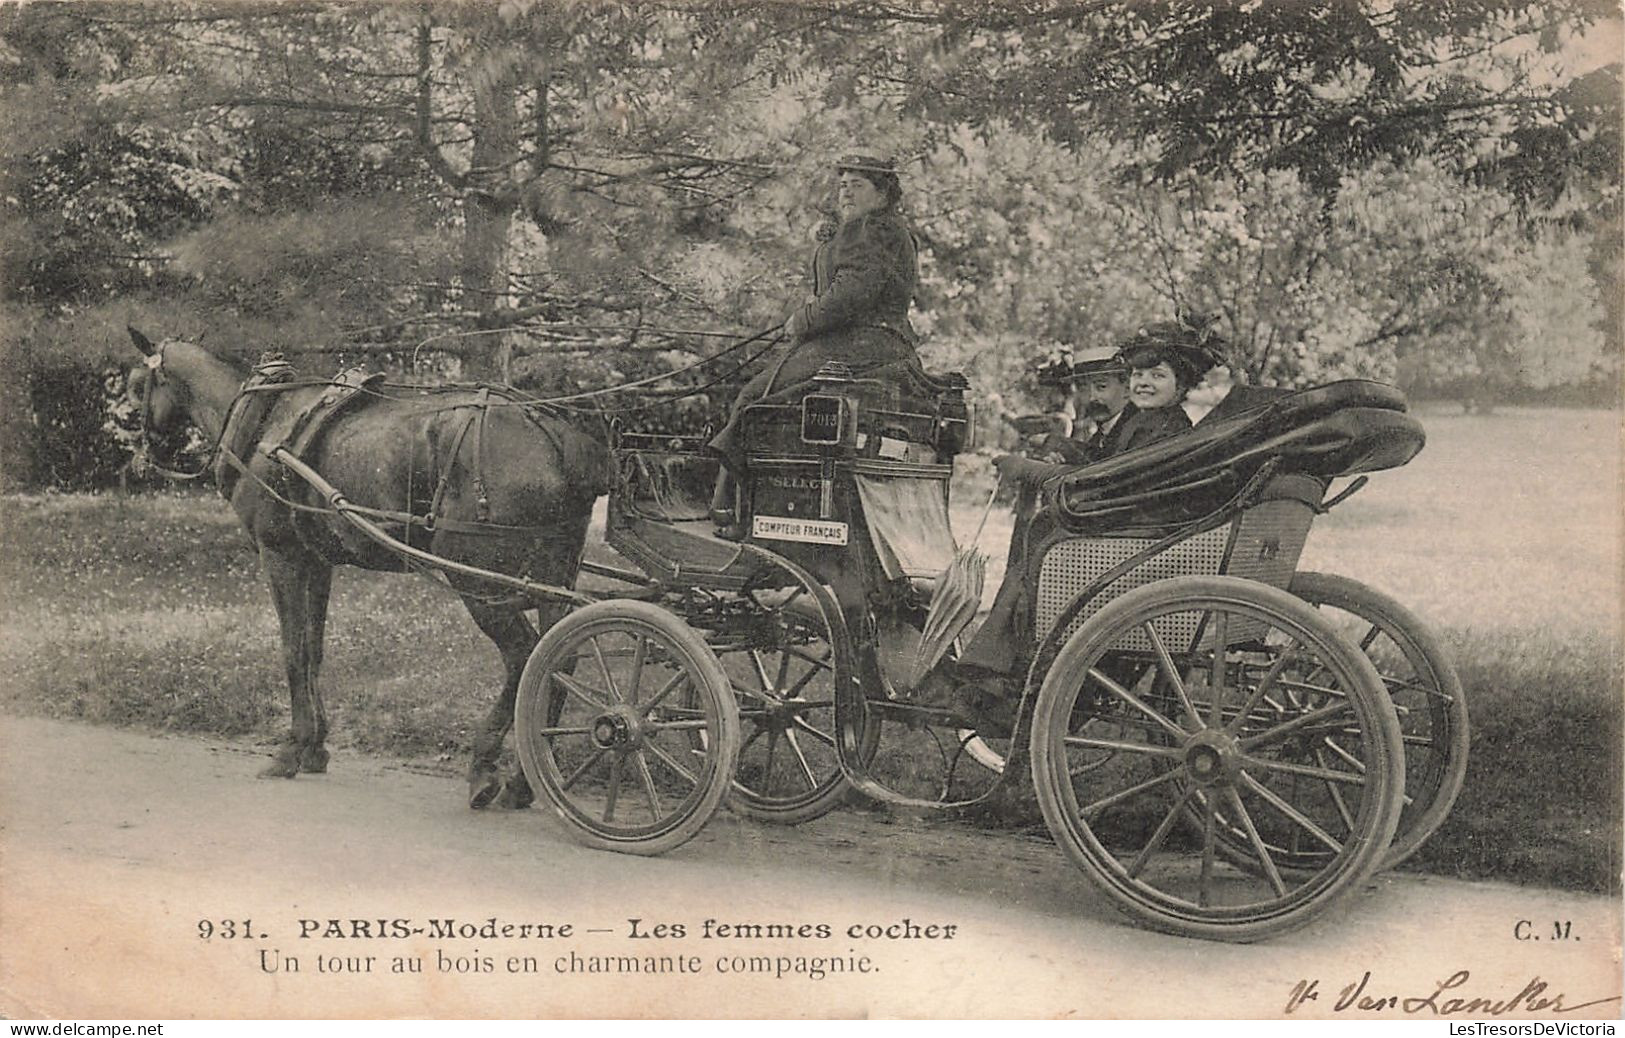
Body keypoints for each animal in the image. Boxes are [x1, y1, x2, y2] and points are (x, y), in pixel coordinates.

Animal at [123, 328, 611, 808]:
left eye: (135, 384)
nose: (139, 458)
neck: (263, 422)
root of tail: (553, 435)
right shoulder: (317, 562)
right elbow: (313, 650)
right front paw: (315, 747)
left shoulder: (280, 555)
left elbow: (292, 652)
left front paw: (290, 750)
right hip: (552, 578)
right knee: (559, 661)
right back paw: (523, 782)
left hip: (478, 582)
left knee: (523, 657)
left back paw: (485, 767)